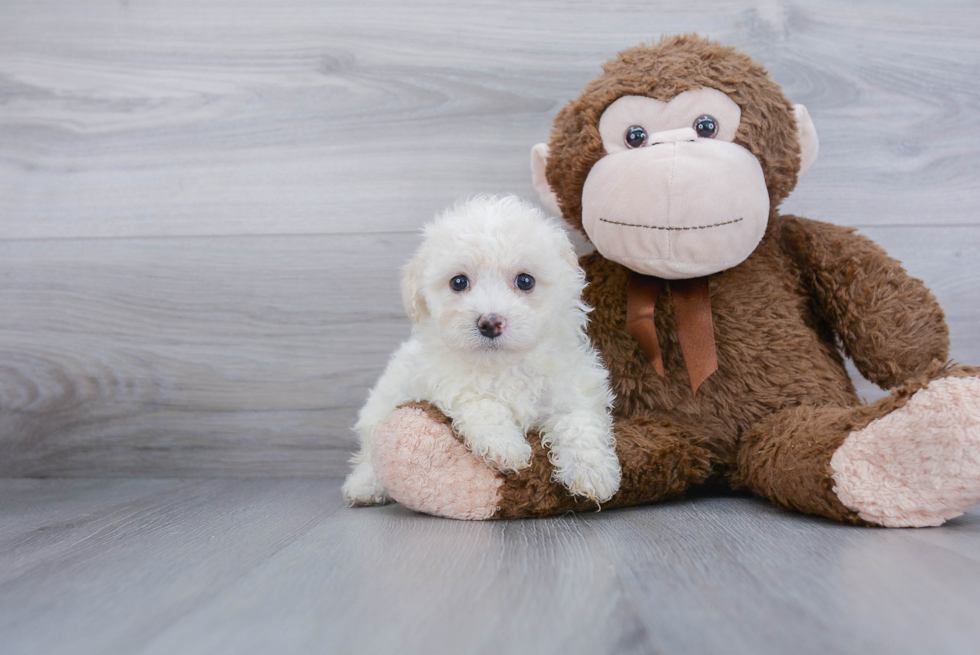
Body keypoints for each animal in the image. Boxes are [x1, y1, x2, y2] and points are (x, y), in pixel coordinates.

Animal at [344, 195, 620, 508]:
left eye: (525, 281)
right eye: (459, 282)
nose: (489, 322)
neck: (503, 365)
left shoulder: (571, 387)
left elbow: (580, 423)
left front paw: (594, 473)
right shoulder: (450, 382)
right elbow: (483, 404)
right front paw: (506, 446)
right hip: (380, 406)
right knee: (370, 453)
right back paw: (364, 486)